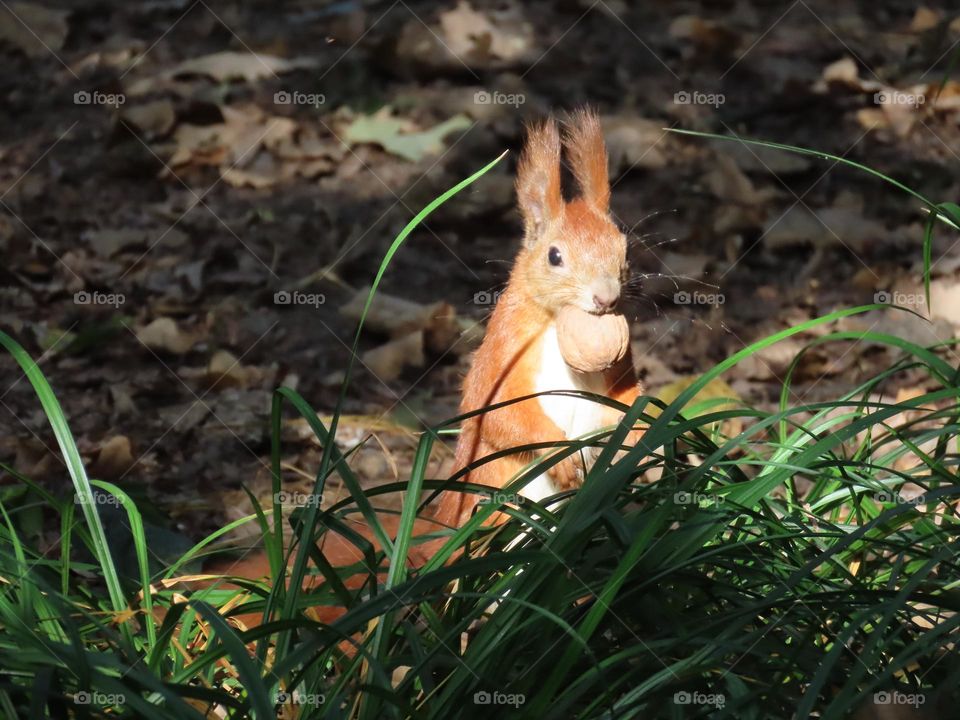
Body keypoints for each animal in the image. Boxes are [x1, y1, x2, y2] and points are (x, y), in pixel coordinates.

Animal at [436, 109, 644, 532]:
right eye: (554, 256)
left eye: (625, 250)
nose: (606, 298)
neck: (558, 323)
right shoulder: (504, 349)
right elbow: (498, 410)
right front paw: (560, 453)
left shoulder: (621, 360)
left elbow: (628, 399)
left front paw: (641, 439)